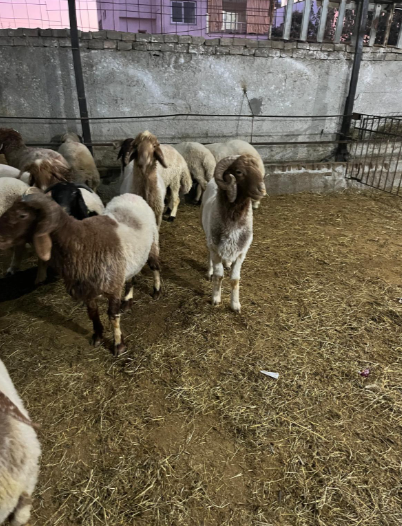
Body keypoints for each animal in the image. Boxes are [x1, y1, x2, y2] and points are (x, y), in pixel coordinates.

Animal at [0, 193, 161, 356]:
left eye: (22, 215)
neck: (81, 241)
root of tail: (130, 195)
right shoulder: (87, 289)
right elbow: (93, 313)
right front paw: (98, 337)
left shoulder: (113, 286)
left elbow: (113, 316)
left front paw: (118, 346)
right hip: (132, 259)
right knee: (131, 279)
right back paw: (127, 302)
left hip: (153, 244)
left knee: (155, 267)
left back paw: (156, 292)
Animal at [201, 155, 266, 312]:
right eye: (239, 172)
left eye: (258, 169)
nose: (262, 189)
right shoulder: (216, 249)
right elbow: (219, 276)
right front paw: (215, 298)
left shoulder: (241, 252)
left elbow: (235, 280)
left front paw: (235, 304)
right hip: (209, 239)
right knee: (209, 256)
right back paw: (209, 271)